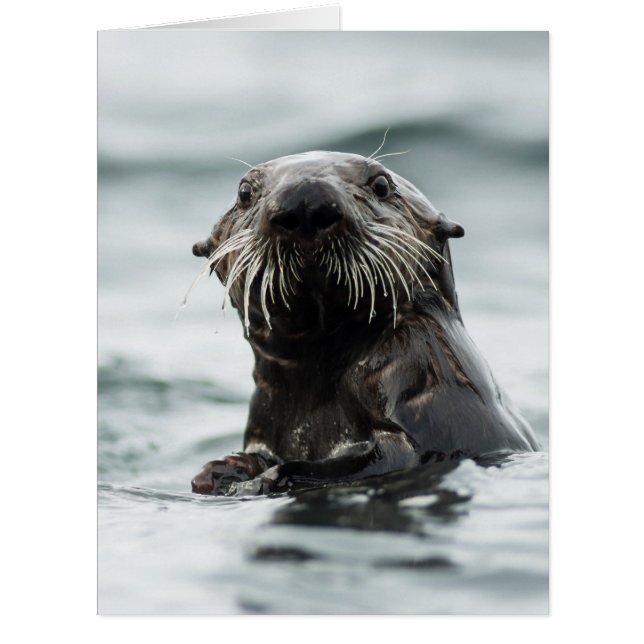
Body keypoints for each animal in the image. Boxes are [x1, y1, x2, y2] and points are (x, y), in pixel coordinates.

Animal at [189, 151, 539, 495]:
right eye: (244, 192)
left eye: (381, 185)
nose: (305, 201)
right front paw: (221, 470)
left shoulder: (423, 376)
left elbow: (386, 458)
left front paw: (263, 478)